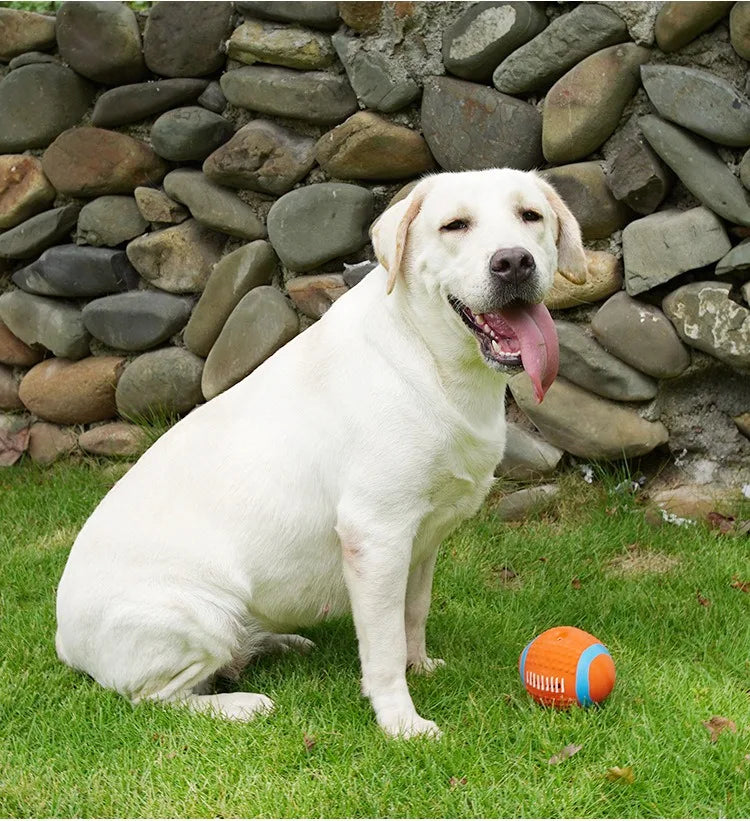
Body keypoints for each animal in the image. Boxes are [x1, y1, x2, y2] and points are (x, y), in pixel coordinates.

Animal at [57, 170, 588, 740]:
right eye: (455, 225)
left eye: (531, 216)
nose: (513, 262)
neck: (430, 359)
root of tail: (64, 641)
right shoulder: (376, 538)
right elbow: (382, 645)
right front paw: (399, 720)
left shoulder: (424, 539)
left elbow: (414, 613)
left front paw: (420, 665)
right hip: (202, 614)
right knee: (155, 699)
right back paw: (239, 704)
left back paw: (273, 643)